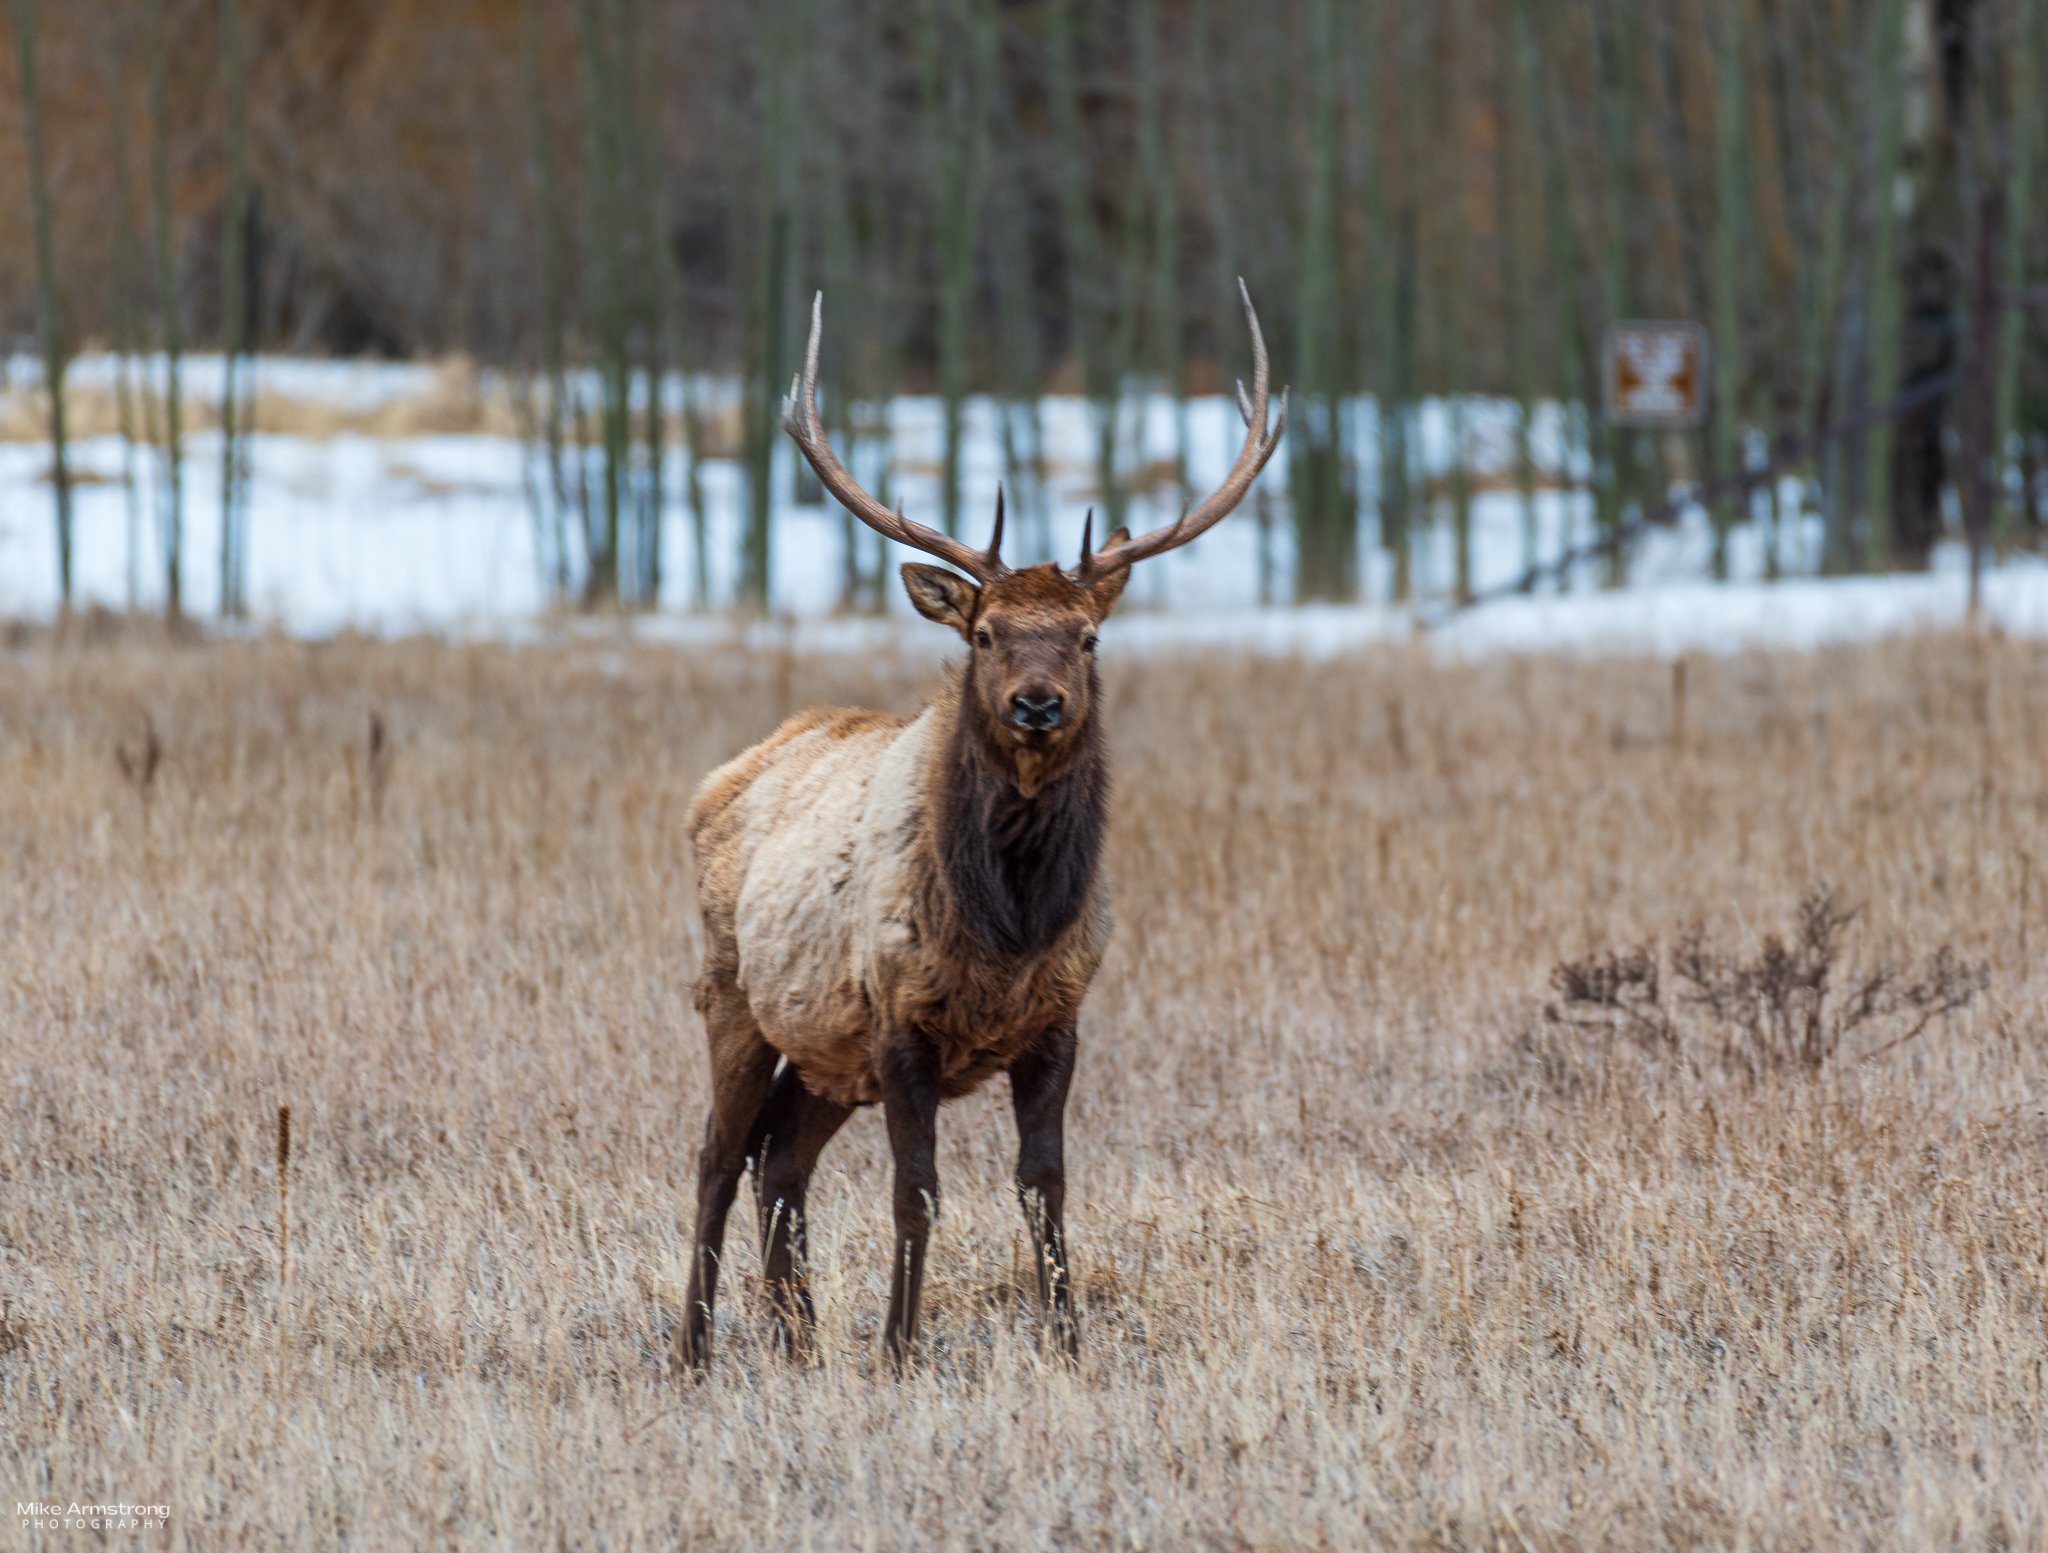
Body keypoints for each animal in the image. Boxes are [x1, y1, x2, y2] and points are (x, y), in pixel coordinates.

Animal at [678, 282, 1285, 1372]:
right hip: (732, 990)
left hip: (826, 1052)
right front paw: (898, 1348)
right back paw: (694, 1350)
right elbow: (914, 1192)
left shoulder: (1057, 1019)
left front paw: (1069, 1342)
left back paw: (798, 1341)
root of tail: (727, 776)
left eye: (1087, 636)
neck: (1007, 926)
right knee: (718, 1151)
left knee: (777, 1157)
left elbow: (1043, 1187)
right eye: (986, 632)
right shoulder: (897, 1019)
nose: (1038, 702)